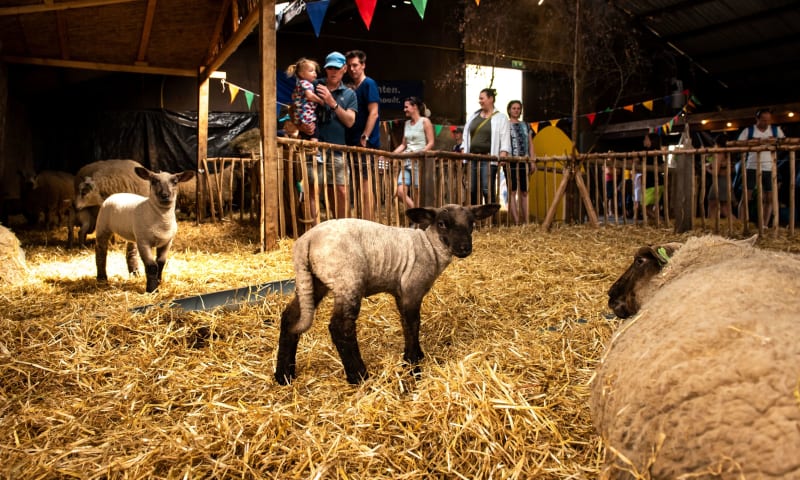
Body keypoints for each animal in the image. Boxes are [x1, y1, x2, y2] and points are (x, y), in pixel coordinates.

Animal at [276, 204, 500, 384]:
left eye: (471, 223)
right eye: (443, 224)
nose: (464, 248)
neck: (431, 247)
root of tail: (307, 240)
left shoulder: (401, 292)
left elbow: (406, 324)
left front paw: (416, 355)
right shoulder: (412, 289)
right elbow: (412, 324)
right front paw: (412, 365)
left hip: (314, 280)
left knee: (290, 317)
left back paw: (284, 375)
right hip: (348, 281)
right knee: (340, 328)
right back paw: (359, 376)